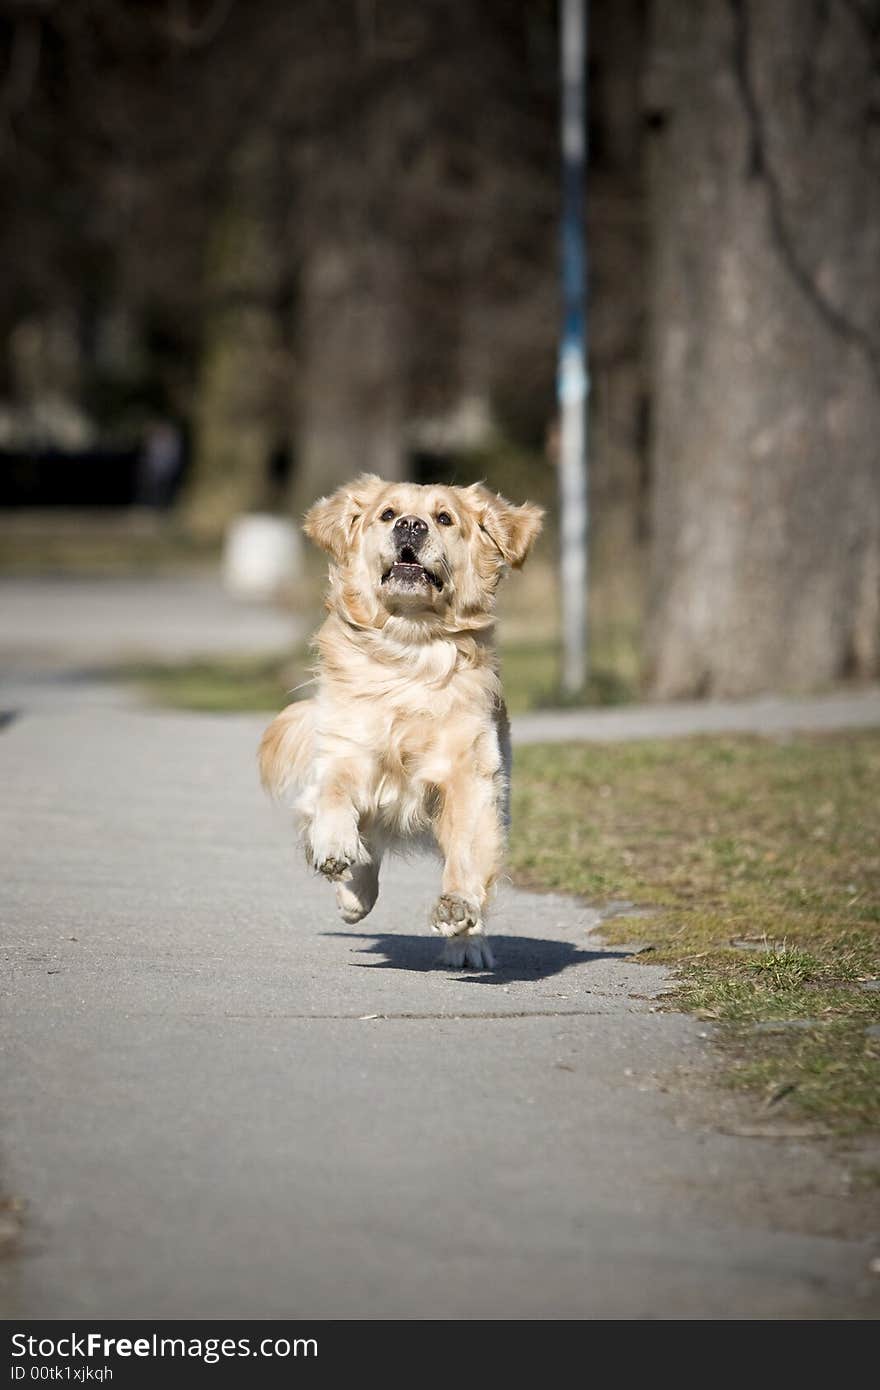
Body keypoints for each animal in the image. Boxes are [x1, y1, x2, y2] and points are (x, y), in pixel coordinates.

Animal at [257, 475, 539, 967]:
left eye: (444, 518)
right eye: (387, 514)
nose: (411, 525)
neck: (409, 651)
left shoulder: (470, 774)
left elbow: (468, 853)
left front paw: (459, 908)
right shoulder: (346, 750)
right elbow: (333, 796)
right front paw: (335, 847)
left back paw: (469, 943)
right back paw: (352, 893)